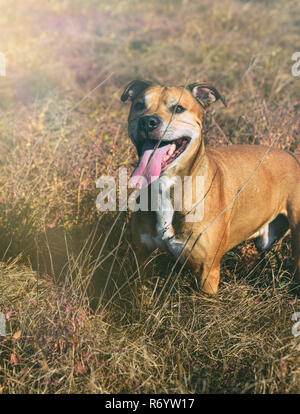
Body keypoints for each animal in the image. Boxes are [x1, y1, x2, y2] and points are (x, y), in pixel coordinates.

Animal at [120, 81, 300, 292]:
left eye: (178, 108)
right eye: (139, 105)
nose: (147, 121)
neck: (166, 186)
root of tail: (292, 156)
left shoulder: (207, 272)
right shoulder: (142, 261)